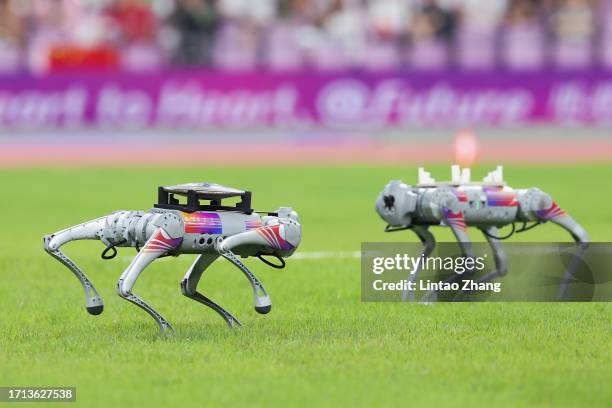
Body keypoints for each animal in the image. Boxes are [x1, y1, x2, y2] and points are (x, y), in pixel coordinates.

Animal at [43, 183, 302, 334]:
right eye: (288, 240)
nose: (293, 239)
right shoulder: (212, 242)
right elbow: (224, 246)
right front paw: (262, 303)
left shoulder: (209, 250)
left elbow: (189, 285)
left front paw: (235, 323)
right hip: (165, 236)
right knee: (124, 285)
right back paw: (165, 327)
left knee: (52, 241)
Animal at [376, 166, 592, 300]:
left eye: (392, 200)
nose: (386, 200)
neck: (419, 199)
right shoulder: (421, 224)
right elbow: (429, 245)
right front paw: (408, 296)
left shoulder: (450, 211)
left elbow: (470, 262)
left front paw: (427, 298)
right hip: (489, 226)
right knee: (502, 265)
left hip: (540, 205)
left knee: (582, 237)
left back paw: (562, 294)